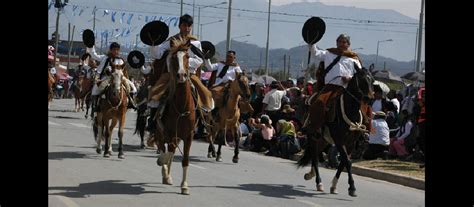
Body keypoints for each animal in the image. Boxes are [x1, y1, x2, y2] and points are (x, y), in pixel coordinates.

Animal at [153, 36, 195, 194]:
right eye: (173, 58)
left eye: (187, 56)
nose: (181, 75)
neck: (182, 107)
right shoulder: (169, 133)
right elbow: (167, 153)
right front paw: (162, 164)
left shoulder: (188, 136)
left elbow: (185, 159)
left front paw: (184, 186)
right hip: (161, 132)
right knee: (163, 147)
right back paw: (165, 173)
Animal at [300, 65, 374, 197]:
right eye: (361, 79)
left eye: (372, 80)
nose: (369, 98)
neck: (350, 112)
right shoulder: (339, 141)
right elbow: (347, 162)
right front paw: (352, 187)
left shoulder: (350, 144)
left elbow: (344, 162)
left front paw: (334, 186)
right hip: (313, 136)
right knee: (314, 156)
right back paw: (318, 182)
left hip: (324, 140)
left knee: (316, 154)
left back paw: (311, 174)